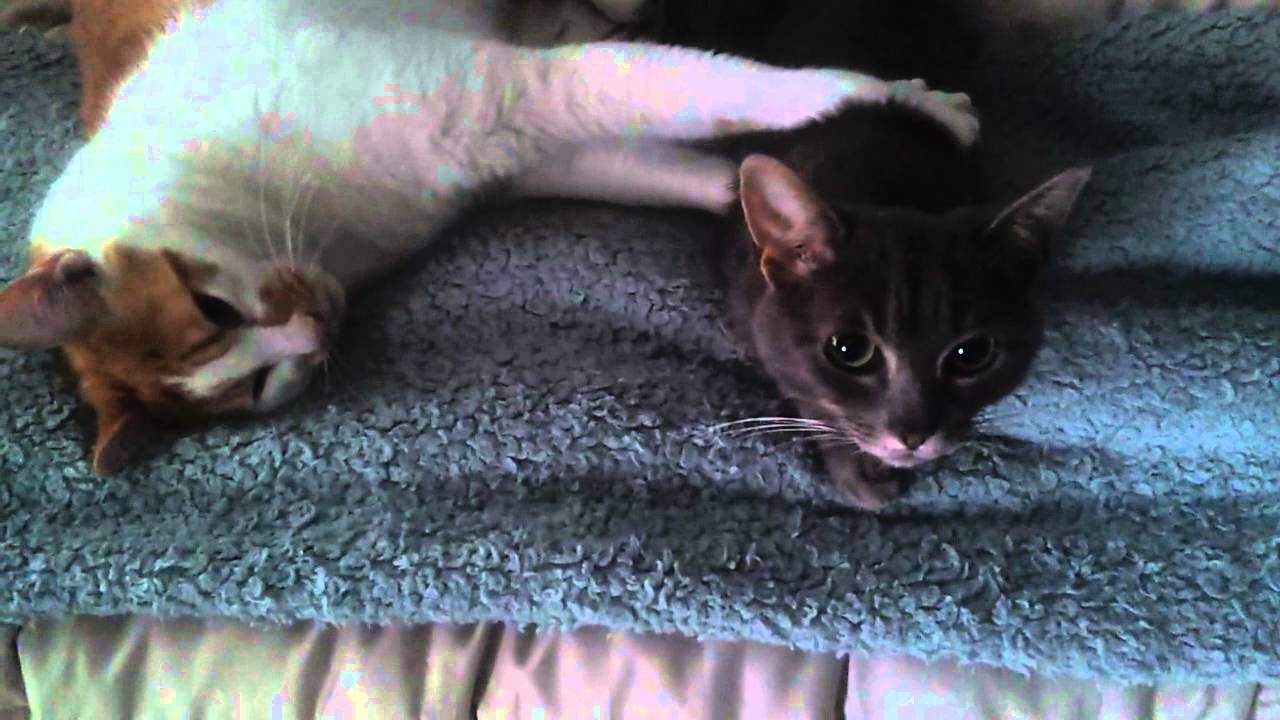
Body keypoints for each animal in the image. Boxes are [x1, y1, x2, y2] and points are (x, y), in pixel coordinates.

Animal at [0, 0, 979, 475]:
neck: (330, 233)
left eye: (212, 305)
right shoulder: (521, 146)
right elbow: (679, 157)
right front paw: (770, 213)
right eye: (257, 389)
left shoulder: (506, 88)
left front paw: (904, 99)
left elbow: (724, 82)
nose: (316, 329)